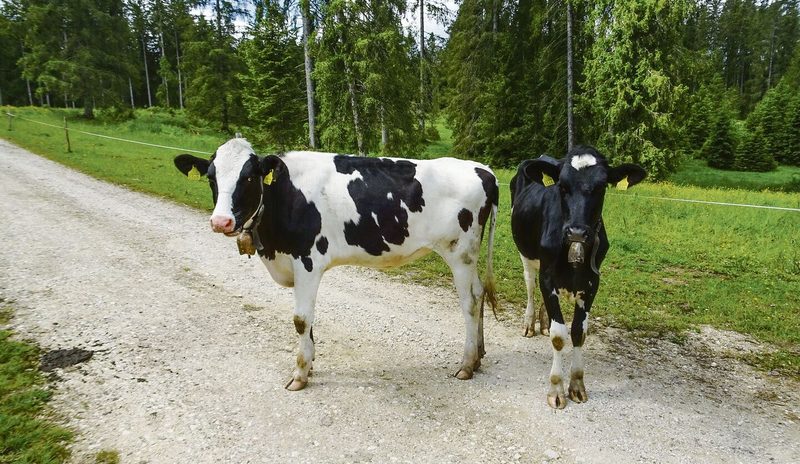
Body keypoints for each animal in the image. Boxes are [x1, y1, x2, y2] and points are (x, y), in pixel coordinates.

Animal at [174, 137, 498, 390]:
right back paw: (480, 356)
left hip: (460, 253)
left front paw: (300, 374)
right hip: (469, 257)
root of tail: (483, 169)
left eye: (249, 178)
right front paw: (311, 364)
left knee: (470, 302)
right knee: (480, 292)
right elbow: (308, 321)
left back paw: (467, 363)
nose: (221, 221)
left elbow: (300, 319)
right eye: (212, 178)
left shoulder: (307, 261)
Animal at [510, 146, 646, 409]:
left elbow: (578, 332)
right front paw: (556, 388)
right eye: (562, 185)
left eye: (602, 186)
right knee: (530, 285)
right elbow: (559, 335)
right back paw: (530, 323)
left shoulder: (592, 282)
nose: (577, 232)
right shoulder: (548, 278)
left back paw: (543, 322)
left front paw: (577, 384)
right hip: (526, 255)